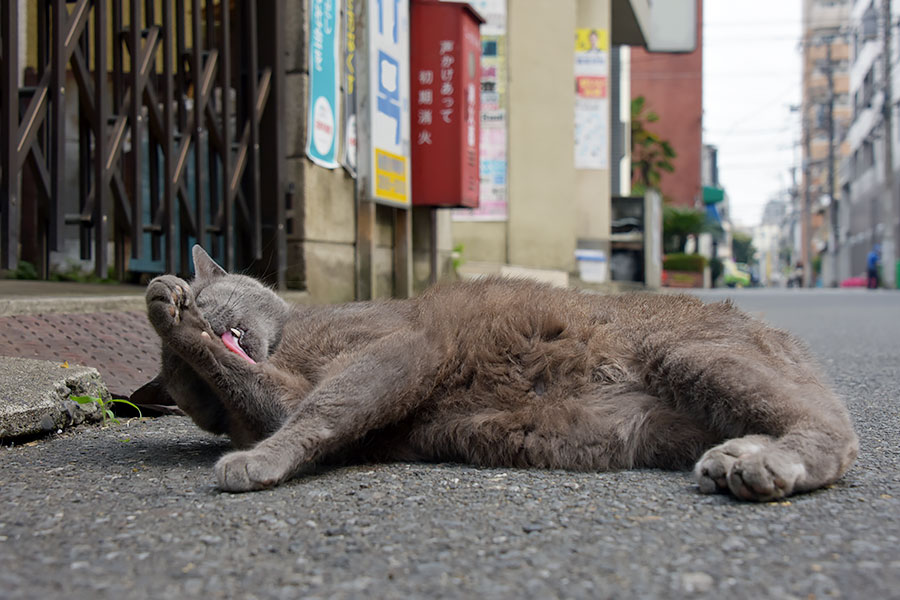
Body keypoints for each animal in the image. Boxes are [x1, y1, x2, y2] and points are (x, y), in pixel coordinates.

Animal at [139, 246, 856, 500]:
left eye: (214, 295)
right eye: (190, 396)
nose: (196, 305)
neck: (290, 342)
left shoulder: (402, 346)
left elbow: (321, 408)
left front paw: (170, 309)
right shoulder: (284, 397)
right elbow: (283, 407)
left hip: (690, 353)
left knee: (835, 432)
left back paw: (766, 465)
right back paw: (735, 458)